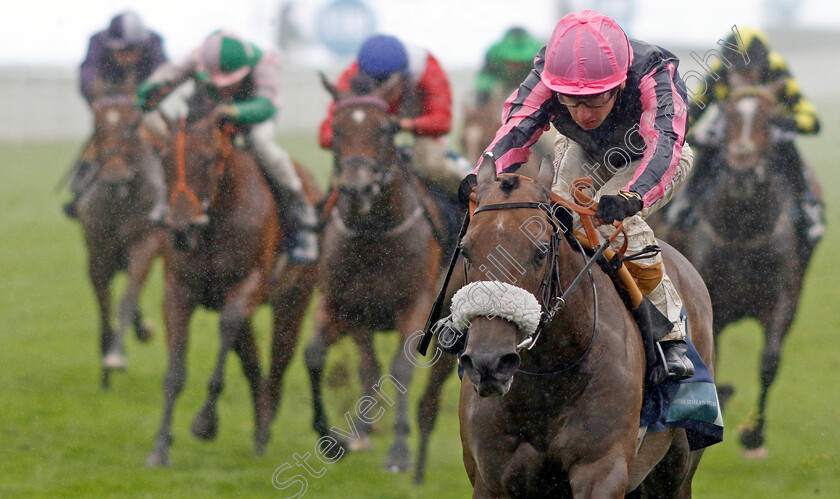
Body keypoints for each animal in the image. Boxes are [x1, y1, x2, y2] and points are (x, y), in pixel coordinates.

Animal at [76, 94, 167, 390]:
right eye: (97, 128)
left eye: (131, 127)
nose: (115, 175)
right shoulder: (97, 253)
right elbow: (105, 307)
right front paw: (105, 374)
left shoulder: (145, 245)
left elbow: (126, 299)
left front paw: (115, 356)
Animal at [144, 101, 318, 468]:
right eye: (164, 159)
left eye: (211, 158)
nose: (181, 229)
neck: (213, 224)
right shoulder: (178, 291)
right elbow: (175, 370)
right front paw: (161, 445)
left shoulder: (247, 286)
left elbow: (227, 326)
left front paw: (205, 422)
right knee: (253, 363)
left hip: (294, 298)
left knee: (277, 363)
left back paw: (264, 429)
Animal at [306, 73, 452, 472]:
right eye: (337, 129)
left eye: (385, 129)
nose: (356, 189)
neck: (374, 234)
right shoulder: (340, 304)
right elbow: (314, 355)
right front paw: (332, 440)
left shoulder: (416, 306)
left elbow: (401, 368)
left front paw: (400, 452)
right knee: (368, 366)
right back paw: (362, 433)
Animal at [452, 155, 716, 496]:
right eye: (465, 250)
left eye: (540, 252)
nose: (488, 361)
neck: (548, 377)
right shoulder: (491, 479)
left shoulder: (601, 469)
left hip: (677, 469)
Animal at [660, 86, 816, 458]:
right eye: (729, 115)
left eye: (769, 119)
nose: (743, 171)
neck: (744, 227)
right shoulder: (713, 298)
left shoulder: (784, 297)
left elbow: (770, 361)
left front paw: (753, 435)